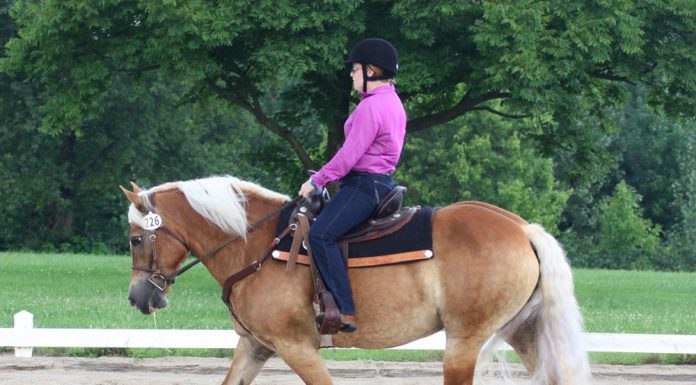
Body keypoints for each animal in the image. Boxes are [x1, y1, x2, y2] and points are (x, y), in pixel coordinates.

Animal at [122, 175, 588, 384]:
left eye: (135, 239)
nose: (138, 297)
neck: (257, 246)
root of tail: (522, 228)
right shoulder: (255, 347)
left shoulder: (297, 347)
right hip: (524, 331)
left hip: (463, 342)